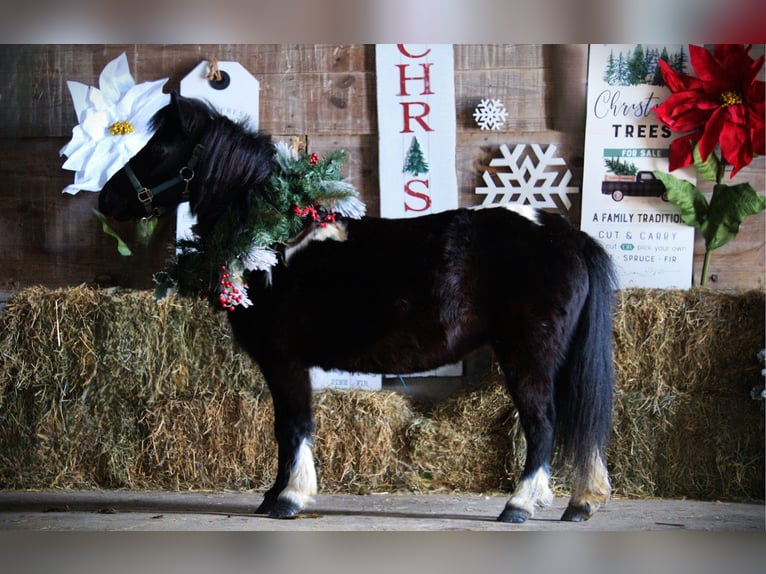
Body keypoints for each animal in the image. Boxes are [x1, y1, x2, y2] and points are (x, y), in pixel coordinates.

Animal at [97, 92, 617, 524]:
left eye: (159, 148)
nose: (107, 198)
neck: (272, 242)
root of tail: (566, 235)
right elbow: (284, 428)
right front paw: (273, 495)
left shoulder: (284, 360)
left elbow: (294, 425)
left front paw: (289, 498)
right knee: (580, 422)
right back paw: (582, 503)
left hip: (527, 357)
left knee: (543, 424)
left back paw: (520, 505)